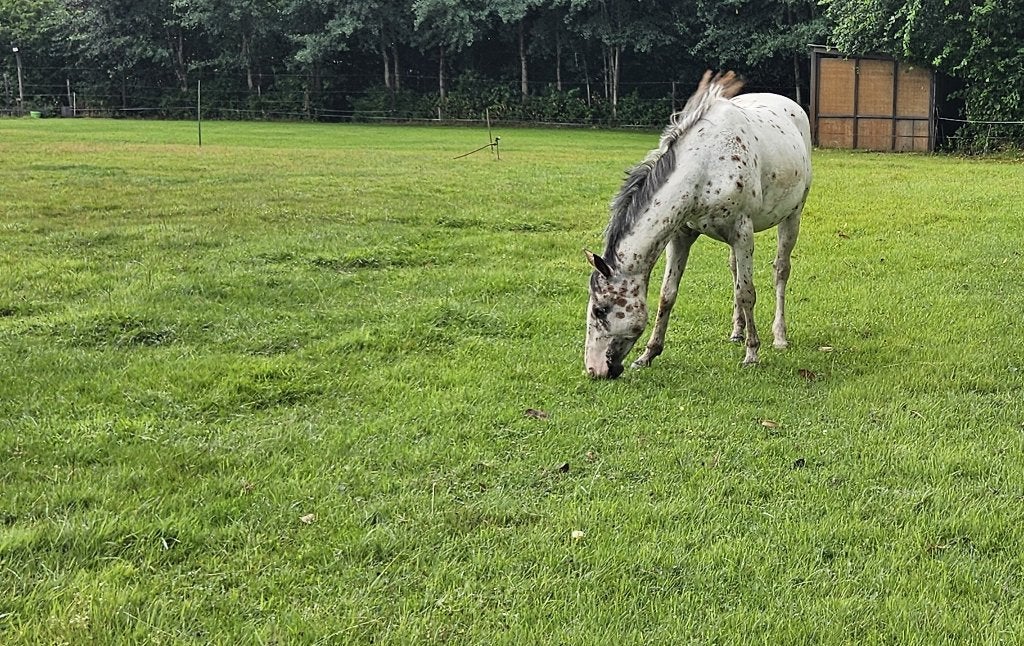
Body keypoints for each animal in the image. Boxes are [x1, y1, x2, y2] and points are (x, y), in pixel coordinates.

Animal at [584, 71, 812, 379]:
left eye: (600, 310)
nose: (593, 369)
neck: (705, 166)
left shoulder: (743, 232)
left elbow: (747, 292)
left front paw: (752, 353)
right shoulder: (681, 234)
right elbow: (668, 295)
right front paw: (648, 354)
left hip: (791, 217)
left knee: (781, 271)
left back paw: (779, 336)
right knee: (734, 271)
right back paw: (736, 332)